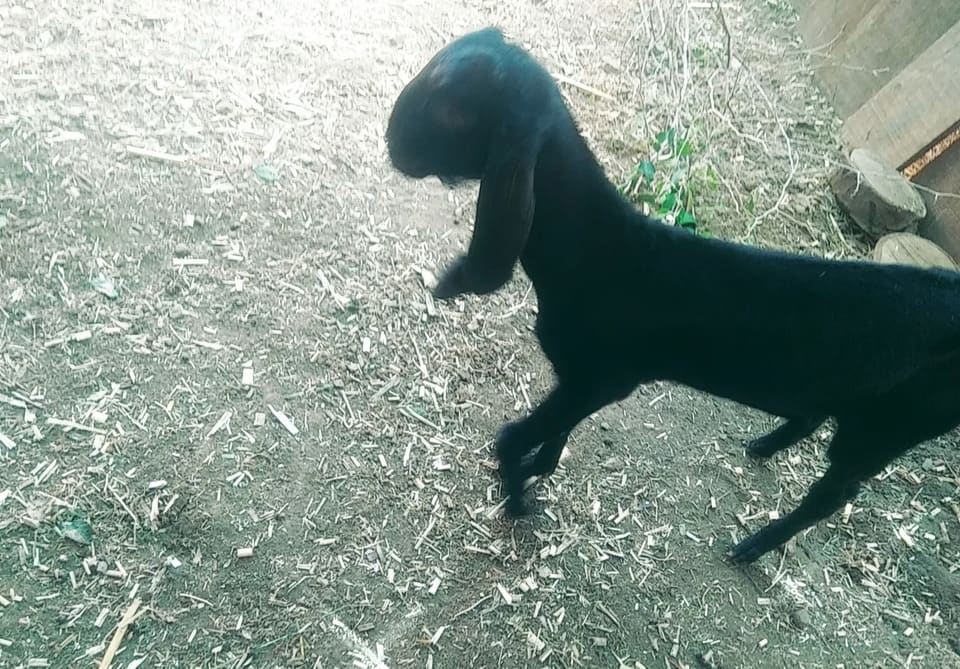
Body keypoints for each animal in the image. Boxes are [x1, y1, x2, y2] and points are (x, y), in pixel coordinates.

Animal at [385, 27, 960, 564]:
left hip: (889, 426)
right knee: (813, 414)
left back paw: (751, 547)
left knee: (835, 493)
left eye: (452, 105)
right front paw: (537, 471)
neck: (598, 253)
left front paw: (517, 499)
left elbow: (514, 435)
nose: (390, 140)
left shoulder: (604, 375)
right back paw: (762, 447)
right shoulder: (587, 381)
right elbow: (561, 428)